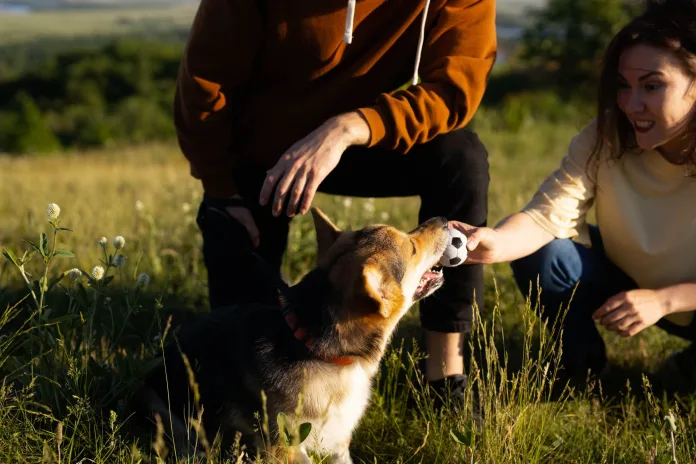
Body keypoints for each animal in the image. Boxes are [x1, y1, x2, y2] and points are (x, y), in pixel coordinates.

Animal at [135, 208, 452, 462]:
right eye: (412, 247)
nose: (444, 219)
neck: (317, 348)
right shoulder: (285, 447)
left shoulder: (338, 444)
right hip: (159, 406)